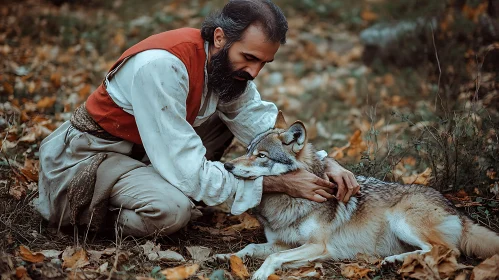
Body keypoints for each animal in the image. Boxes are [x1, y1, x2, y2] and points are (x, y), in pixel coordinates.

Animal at [217, 111, 499, 280]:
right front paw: (227, 257)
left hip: (403, 221)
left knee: (447, 251)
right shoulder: (283, 243)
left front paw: (261, 273)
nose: (227, 166)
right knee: (430, 251)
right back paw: (392, 260)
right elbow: (251, 247)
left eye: (261, 156)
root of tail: (456, 210)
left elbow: (273, 257)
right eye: (248, 150)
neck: (289, 202)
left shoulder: (316, 245)